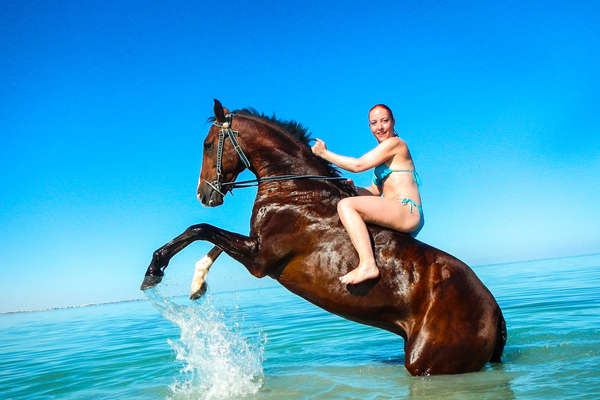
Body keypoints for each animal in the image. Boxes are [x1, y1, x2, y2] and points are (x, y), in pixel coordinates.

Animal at [142, 99, 506, 376]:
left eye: (206, 145)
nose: (204, 195)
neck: (294, 188)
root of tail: (495, 314)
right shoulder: (254, 244)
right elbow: (212, 241)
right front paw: (197, 284)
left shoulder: (259, 258)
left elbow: (200, 229)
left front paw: (153, 272)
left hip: (428, 363)